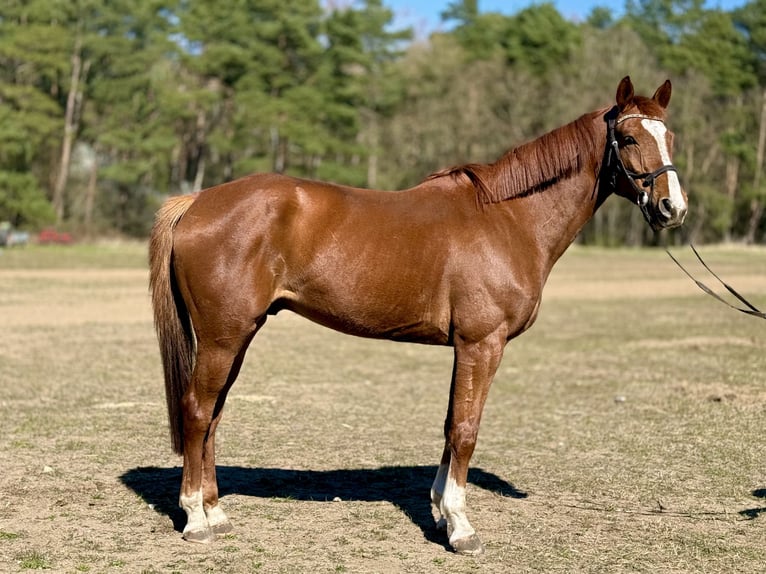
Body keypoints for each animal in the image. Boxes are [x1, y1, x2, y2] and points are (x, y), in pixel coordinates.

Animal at [149, 76, 687, 555]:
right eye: (628, 137)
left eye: (670, 138)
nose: (672, 208)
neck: (508, 218)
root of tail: (196, 202)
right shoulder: (481, 344)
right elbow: (466, 429)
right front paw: (461, 528)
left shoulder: (466, 348)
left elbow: (451, 423)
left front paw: (441, 512)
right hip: (221, 338)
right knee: (197, 411)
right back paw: (195, 519)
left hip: (237, 336)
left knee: (214, 415)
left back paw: (217, 512)